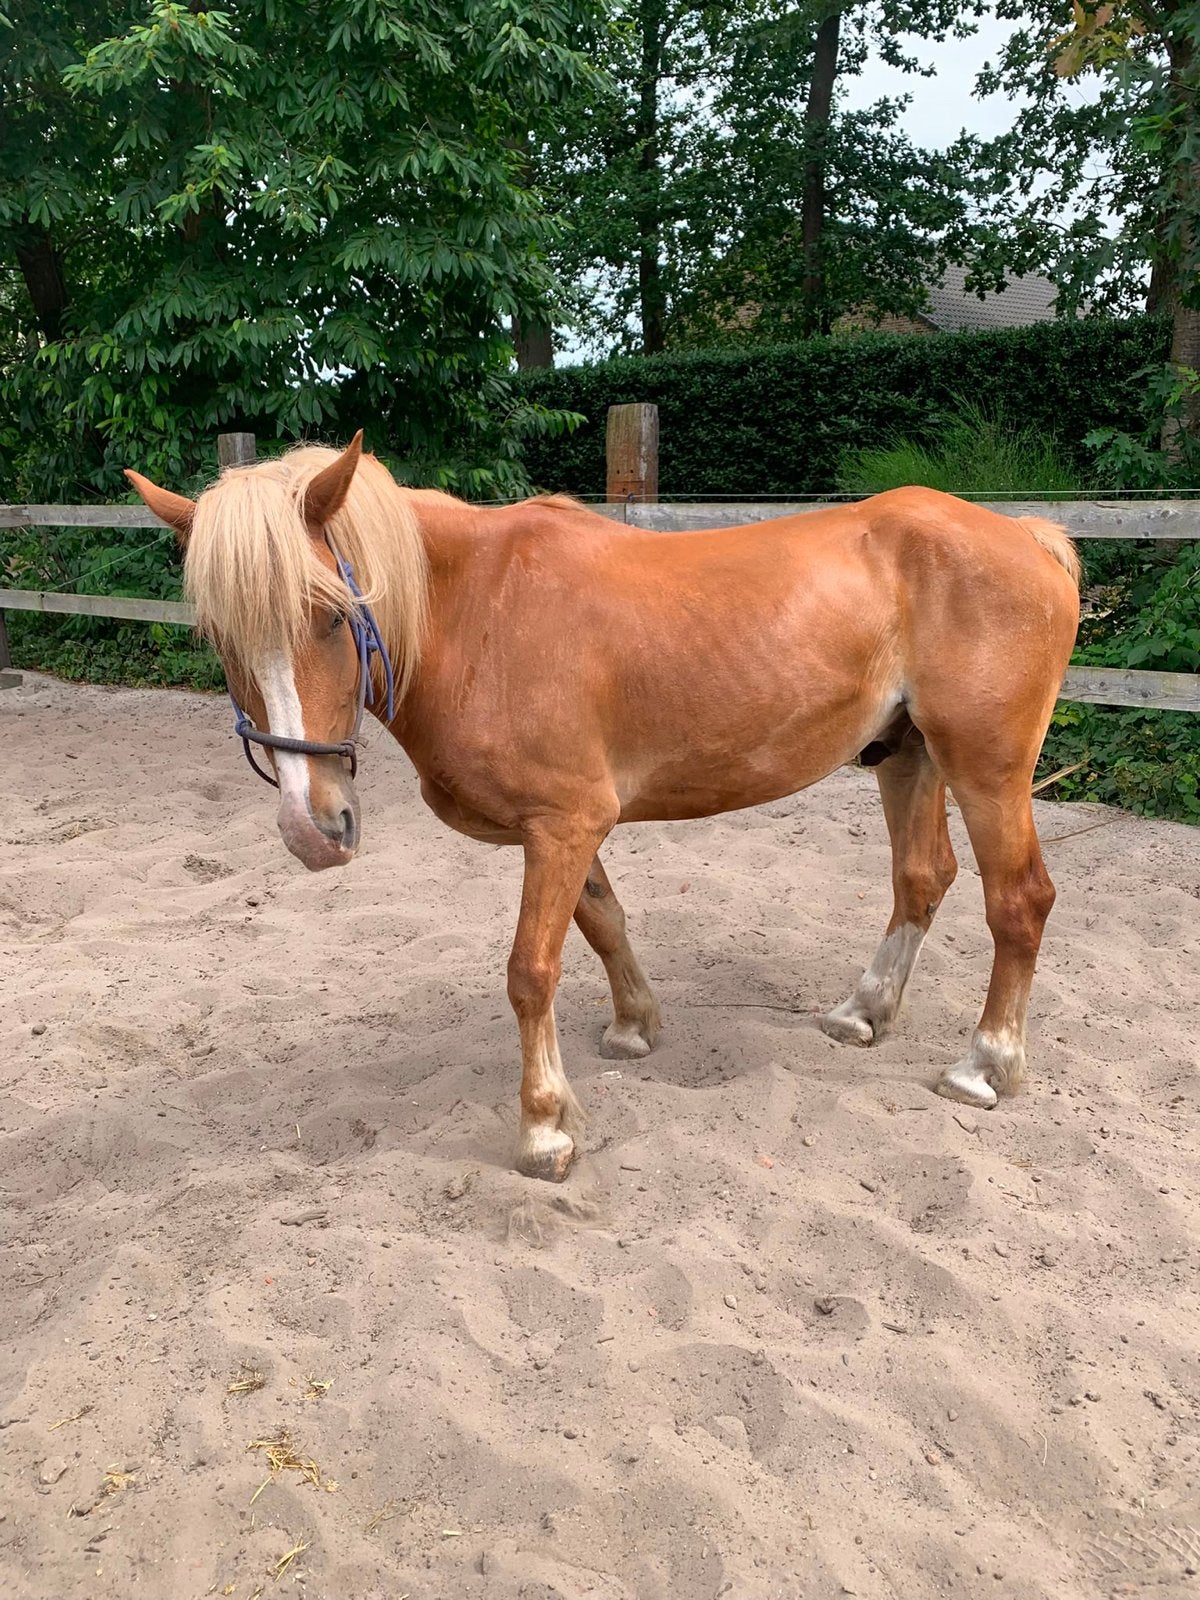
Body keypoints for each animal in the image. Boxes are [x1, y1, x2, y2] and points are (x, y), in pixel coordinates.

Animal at [126, 433, 1080, 1182]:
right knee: (922, 879)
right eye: (217, 635)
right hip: (907, 756)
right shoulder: (563, 831)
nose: (311, 830)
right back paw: (863, 1011)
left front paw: (545, 1126)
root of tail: (1028, 536)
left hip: (985, 768)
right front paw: (633, 1027)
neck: (475, 612)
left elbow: (530, 971)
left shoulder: (564, 823)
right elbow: (603, 922)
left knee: (1020, 900)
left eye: (331, 615)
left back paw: (986, 1064)